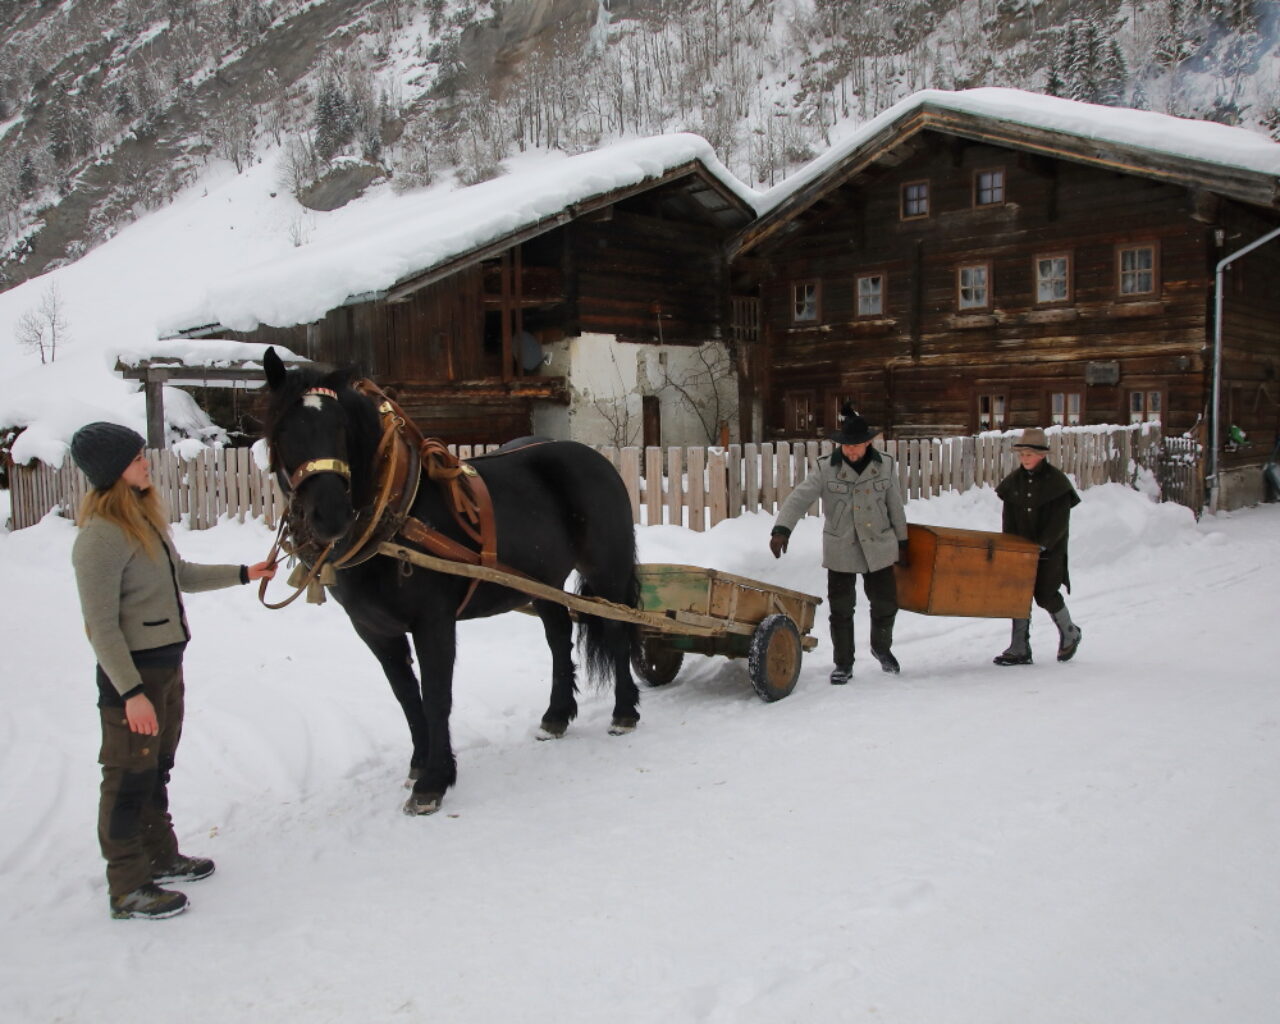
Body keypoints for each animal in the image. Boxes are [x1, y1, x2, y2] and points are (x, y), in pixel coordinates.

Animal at [261, 347, 642, 815]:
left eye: (341, 428)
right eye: (284, 429)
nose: (330, 515)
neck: (397, 514)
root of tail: (597, 459)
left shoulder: (434, 623)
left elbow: (437, 695)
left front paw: (434, 781)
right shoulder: (374, 629)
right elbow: (407, 696)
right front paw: (419, 763)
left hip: (606, 571)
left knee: (617, 631)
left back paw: (624, 712)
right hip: (541, 581)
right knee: (558, 638)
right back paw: (556, 716)